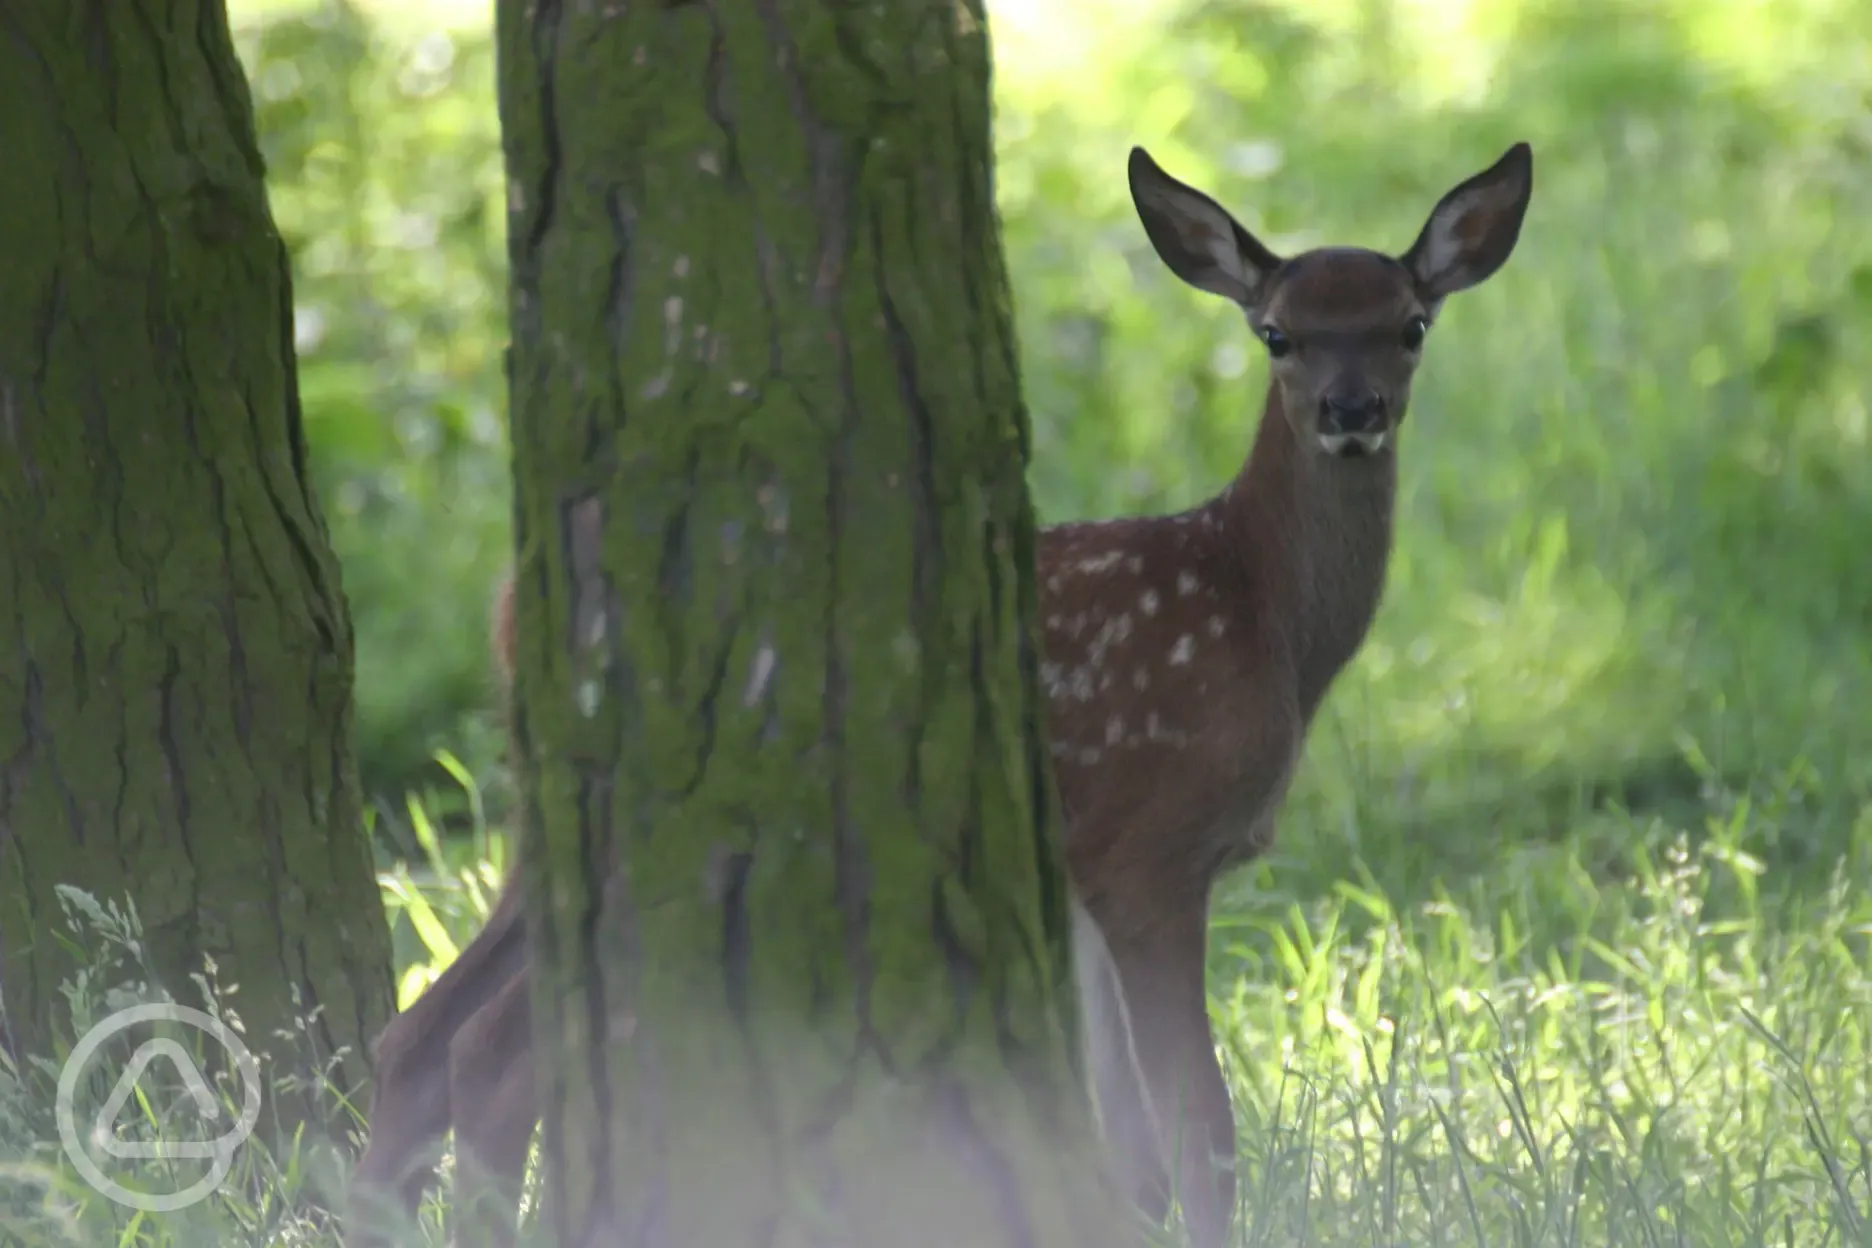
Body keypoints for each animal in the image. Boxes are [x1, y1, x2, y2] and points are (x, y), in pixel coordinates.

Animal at [348, 136, 1535, 1248]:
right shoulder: (1153, 850)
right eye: (1277, 333)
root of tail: (514, 605)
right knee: (492, 1048)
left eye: (1410, 324)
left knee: (421, 1033)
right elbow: (1200, 1130)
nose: (1351, 408)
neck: (1265, 615)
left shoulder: (1080, 873)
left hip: (551, 811)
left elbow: (1128, 1143)